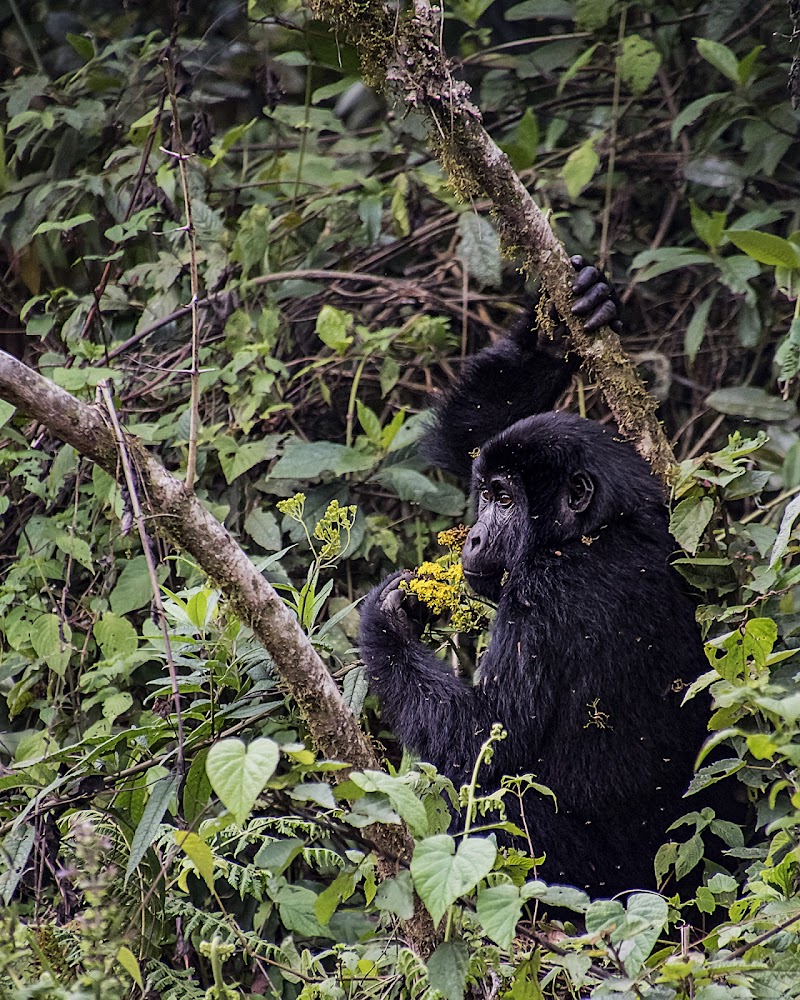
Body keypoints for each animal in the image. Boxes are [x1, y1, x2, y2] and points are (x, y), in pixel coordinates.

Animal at [358, 260, 712, 900]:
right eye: (485, 492)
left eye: (503, 501)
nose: (474, 539)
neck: (590, 533)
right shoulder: (651, 495)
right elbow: (473, 437)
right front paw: (558, 330)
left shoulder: (543, 593)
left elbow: (485, 749)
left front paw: (388, 622)